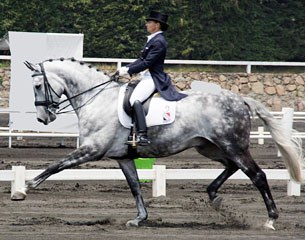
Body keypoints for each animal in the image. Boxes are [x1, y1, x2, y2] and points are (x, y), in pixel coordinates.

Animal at [18, 58, 302, 231]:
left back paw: (270, 220)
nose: (43, 118)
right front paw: (139, 218)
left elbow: (57, 165)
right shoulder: (122, 156)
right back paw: (213, 196)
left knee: (257, 175)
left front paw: (23, 188)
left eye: (38, 84)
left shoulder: (92, 150)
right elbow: (134, 186)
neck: (96, 99)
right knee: (231, 167)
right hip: (209, 147)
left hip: (234, 146)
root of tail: (240, 99)